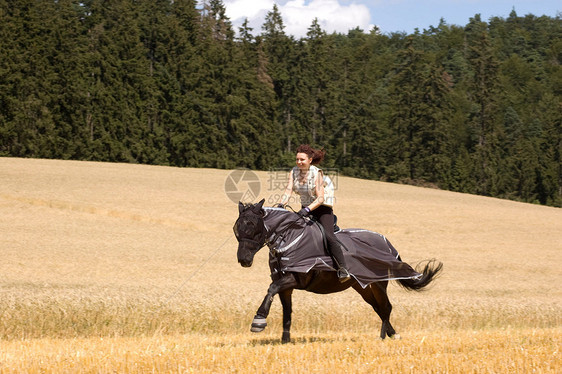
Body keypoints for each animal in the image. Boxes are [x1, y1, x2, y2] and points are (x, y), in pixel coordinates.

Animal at [233, 200, 442, 344]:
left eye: (253, 226)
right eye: (236, 228)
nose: (244, 260)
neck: (289, 237)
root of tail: (387, 243)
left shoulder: (295, 279)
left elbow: (271, 289)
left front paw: (258, 321)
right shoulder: (287, 288)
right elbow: (287, 311)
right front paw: (285, 340)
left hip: (379, 283)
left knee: (386, 307)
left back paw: (384, 336)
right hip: (362, 286)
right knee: (378, 307)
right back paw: (392, 334)